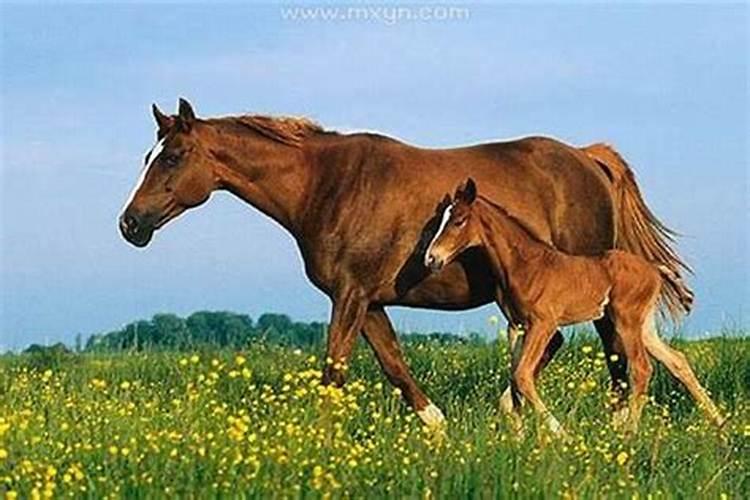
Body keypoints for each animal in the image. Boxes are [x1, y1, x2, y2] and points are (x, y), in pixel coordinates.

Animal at [119, 98, 691, 429]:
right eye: (147, 157)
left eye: (171, 157)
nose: (130, 224)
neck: (328, 185)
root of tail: (587, 157)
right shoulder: (368, 301)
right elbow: (394, 364)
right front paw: (436, 426)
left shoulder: (349, 296)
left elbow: (334, 371)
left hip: (598, 300)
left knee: (616, 360)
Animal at [425, 178, 723, 433]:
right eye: (441, 220)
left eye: (459, 221)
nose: (431, 258)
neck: (524, 264)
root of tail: (653, 268)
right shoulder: (516, 326)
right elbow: (515, 378)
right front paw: (519, 438)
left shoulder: (543, 325)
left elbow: (523, 375)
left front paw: (560, 434)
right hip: (643, 325)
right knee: (677, 360)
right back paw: (720, 423)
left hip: (625, 320)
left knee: (642, 367)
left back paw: (630, 434)